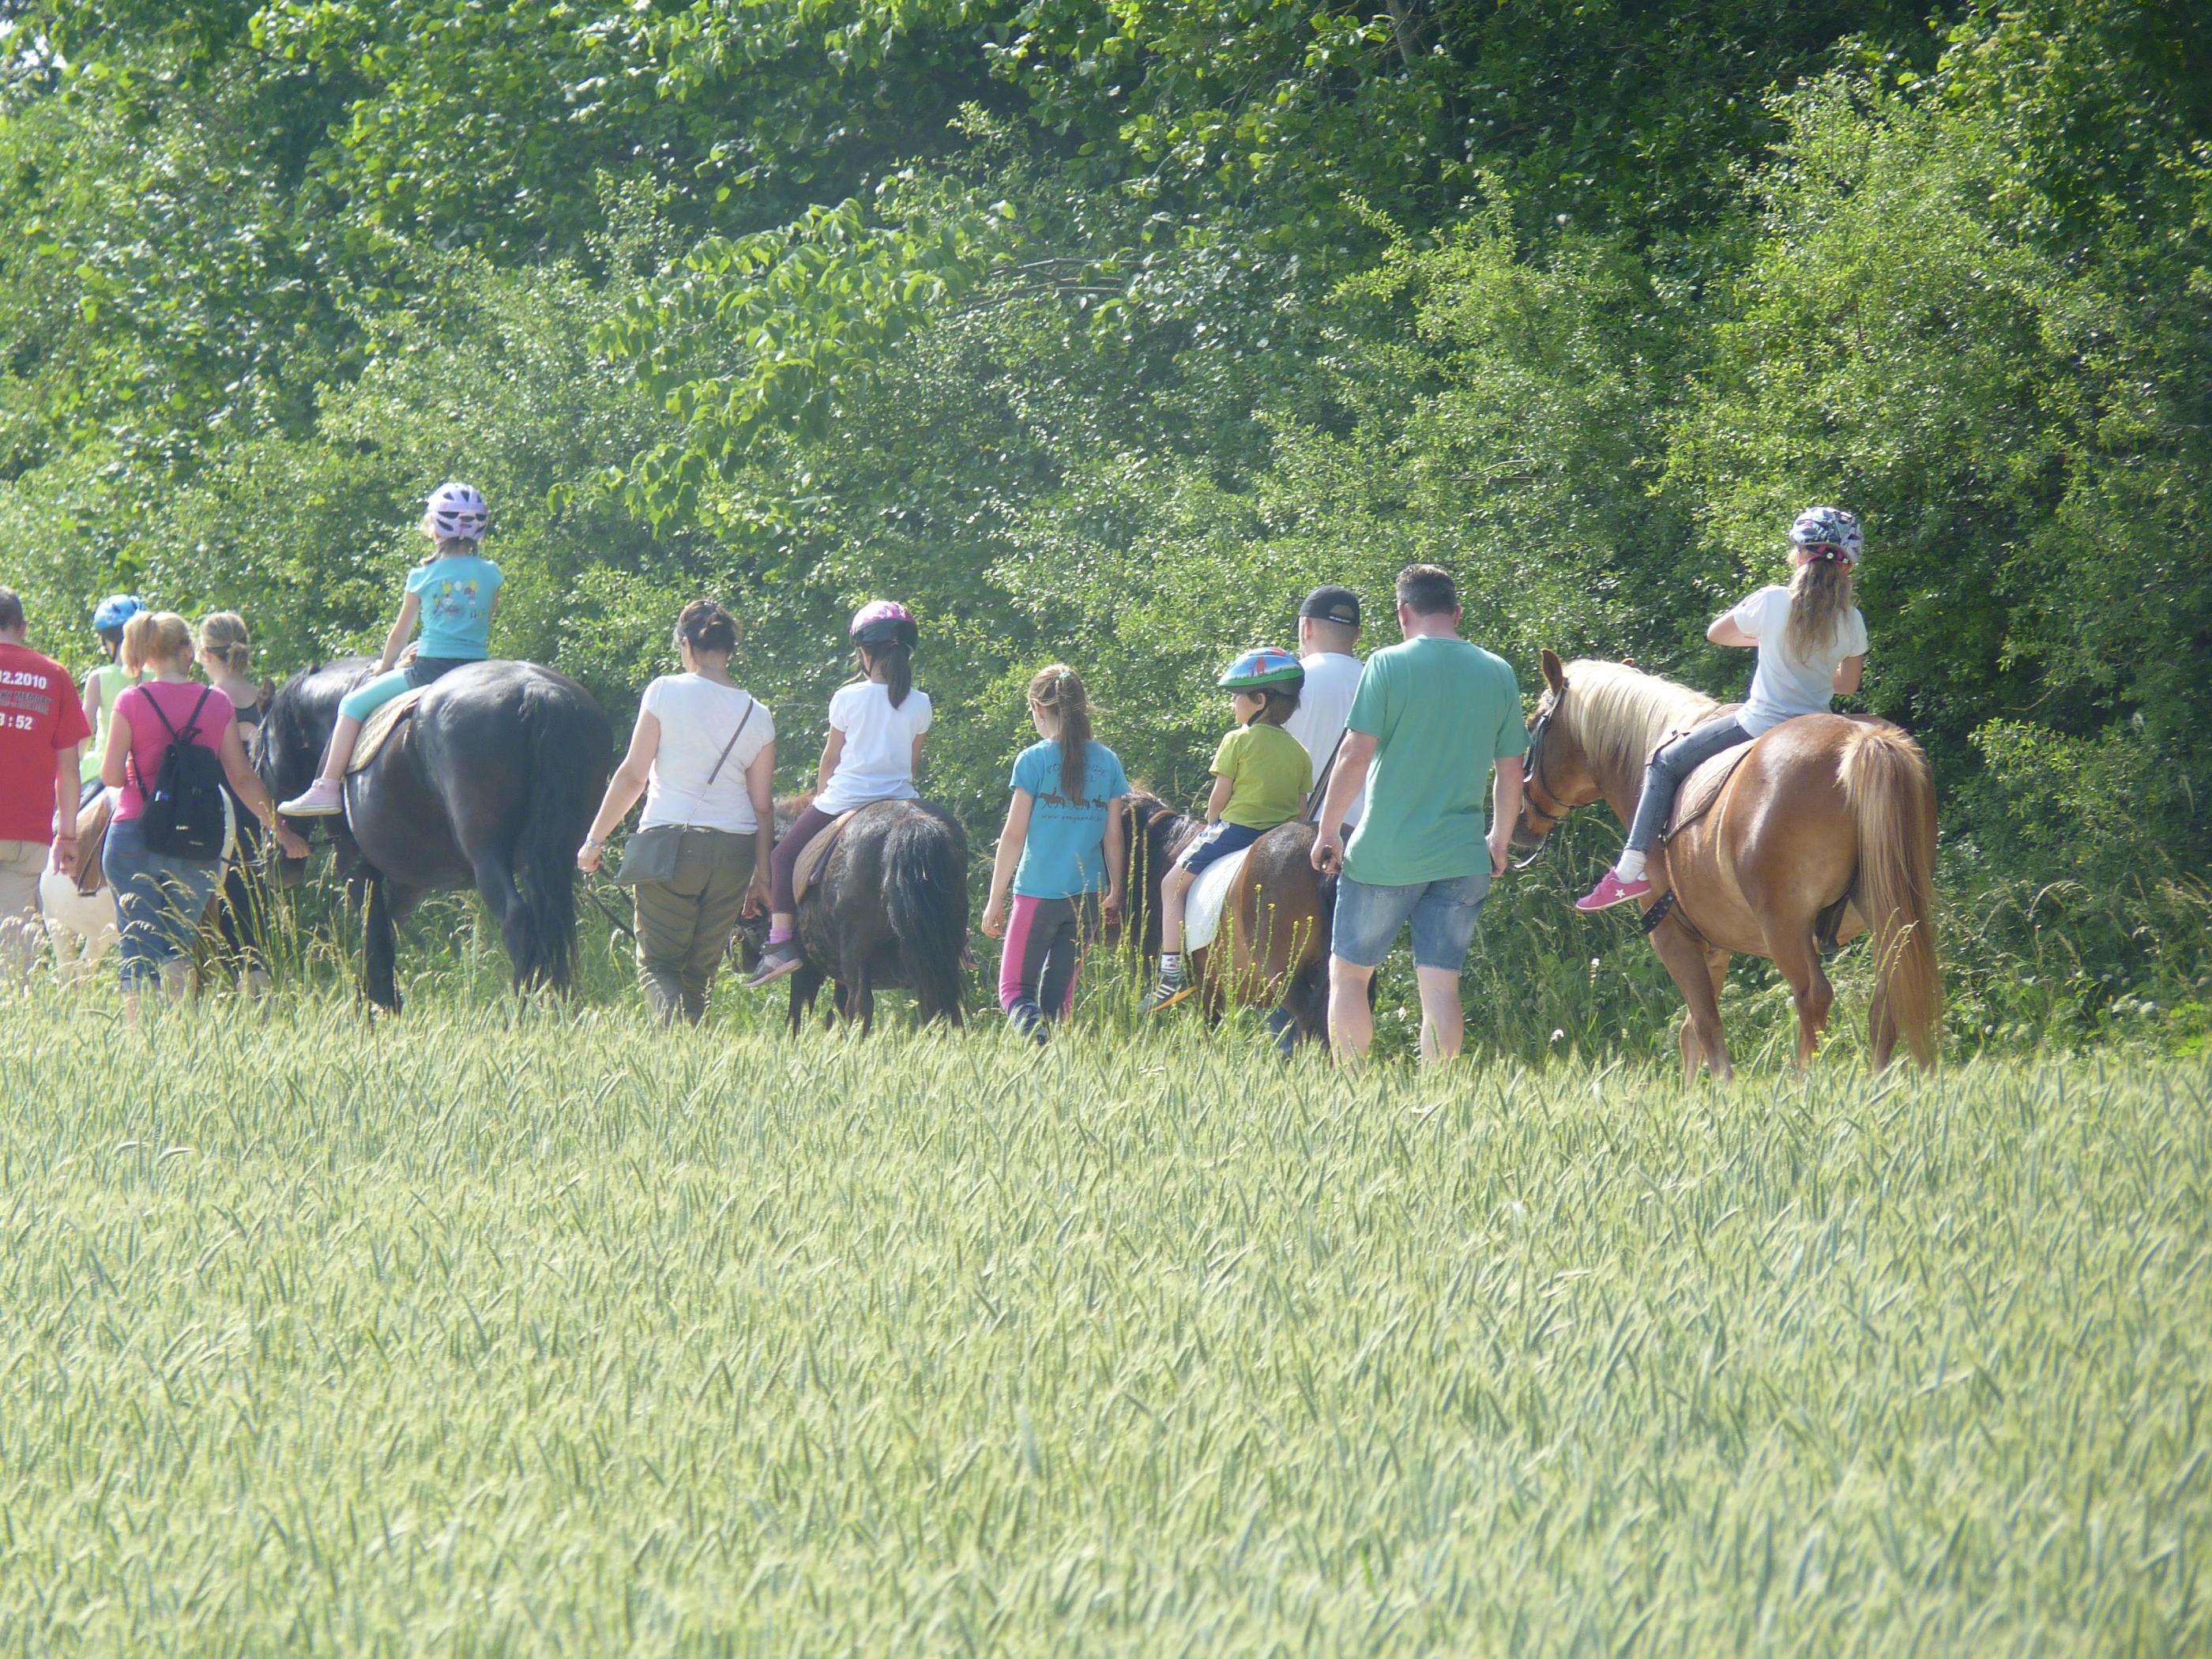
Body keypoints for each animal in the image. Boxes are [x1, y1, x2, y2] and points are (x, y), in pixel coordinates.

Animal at [261, 654, 615, 1008]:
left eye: (260, 754)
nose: (277, 860)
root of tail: (535, 689)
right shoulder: (410, 883)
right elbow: (386, 934)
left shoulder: (355, 866)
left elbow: (373, 937)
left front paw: (376, 1006)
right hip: (550, 857)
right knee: (551, 921)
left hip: (486, 856)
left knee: (517, 920)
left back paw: (524, 1005)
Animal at [734, 796, 969, 1040]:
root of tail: (910, 822)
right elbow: (832, 1014)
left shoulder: (807, 965)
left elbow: (797, 1015)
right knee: (941, 1005)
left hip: (856, 952)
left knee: (861, 1007)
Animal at [1522, 654, 1937, 1084]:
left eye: (1534, 723)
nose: (1521, 819)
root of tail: (1861, 740)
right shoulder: (1715, 946)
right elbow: (1691, 1031)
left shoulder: (1672, 936)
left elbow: (1706, 1024)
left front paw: (1722, 1089)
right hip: (1887, 913)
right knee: (1890, 994)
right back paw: (1878, 1081)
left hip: (1785, 926)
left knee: (1813, 996)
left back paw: (1803, 1081)